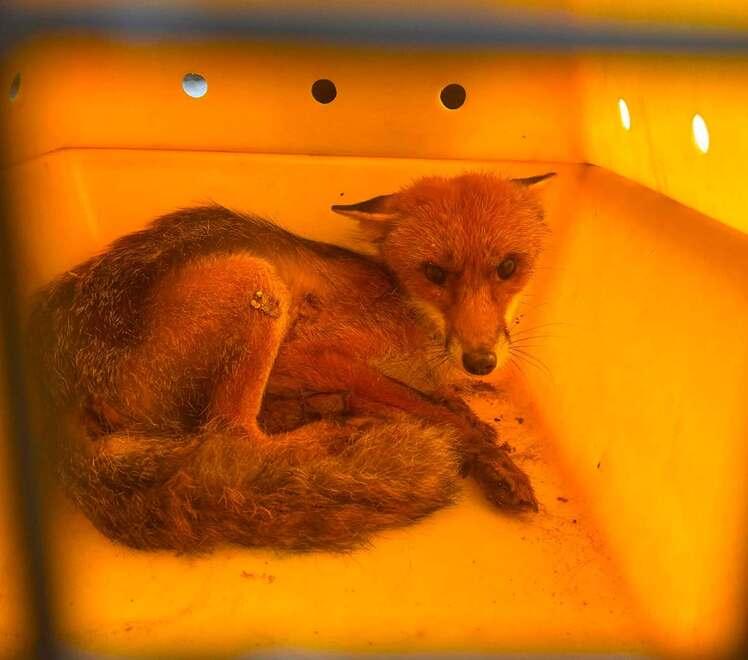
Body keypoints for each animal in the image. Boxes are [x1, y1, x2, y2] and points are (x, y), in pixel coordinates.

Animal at [29, 171, 555, 553]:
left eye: (508, 267)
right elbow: (429, 409)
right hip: (258, 287)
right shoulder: (311, 353)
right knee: (233, 433)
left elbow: (444, 403)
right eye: (435, 273)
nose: (481, 362)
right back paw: (335, 429)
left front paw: (482, 439)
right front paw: (485, 452)